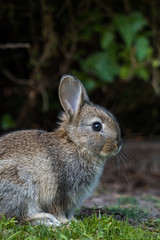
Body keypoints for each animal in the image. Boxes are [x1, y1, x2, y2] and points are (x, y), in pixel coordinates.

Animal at [0, 75, 121, 227]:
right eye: (97, 126)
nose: (118, 144)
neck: (76, 143)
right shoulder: (62, 191)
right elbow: (58, 209)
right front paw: (66, 222)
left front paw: (74, 220)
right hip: (19, 186)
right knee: (16, 217)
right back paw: (48, 221)